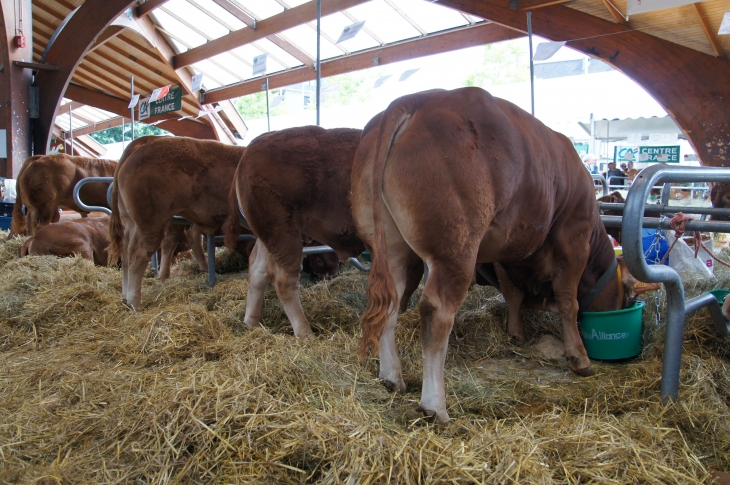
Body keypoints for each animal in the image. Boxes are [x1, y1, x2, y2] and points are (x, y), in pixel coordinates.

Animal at [108, 134, 253, 308]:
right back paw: (134, 302)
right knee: (139, 254)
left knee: (126, 253)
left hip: (131, 222)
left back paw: (125, 296)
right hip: (151, 223)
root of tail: (150, 140)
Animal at [223, 125, 420, 336]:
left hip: (268, 235)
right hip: (283, 233)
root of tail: (252, 146)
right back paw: (305, 333)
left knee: (258, 269)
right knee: (283, 279)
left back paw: (251, 322)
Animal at [352, 89, 648, 422]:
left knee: (391, 304)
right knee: (436, 312)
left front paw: (516, 333)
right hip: (455, 249)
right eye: (628, 294)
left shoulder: (509, 250)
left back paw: (391, 377)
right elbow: (567, 302)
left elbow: (513, 294)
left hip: (391, 247)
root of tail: (416, 100)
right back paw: (434, 406)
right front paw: (580, 358)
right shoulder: (573, 237)